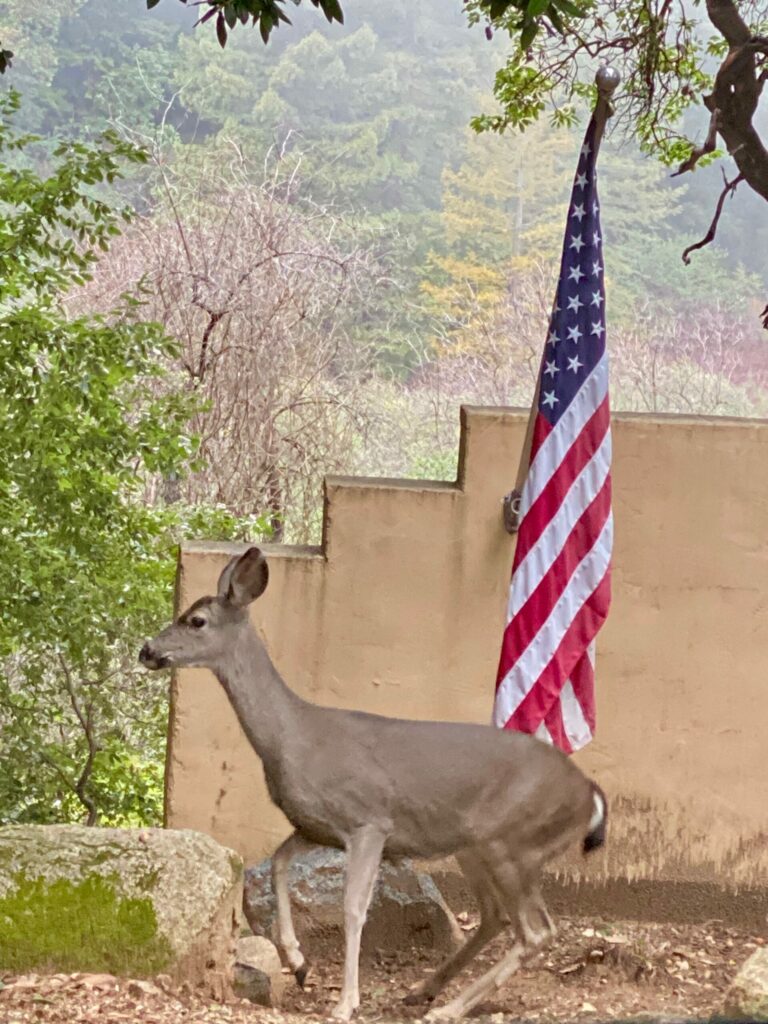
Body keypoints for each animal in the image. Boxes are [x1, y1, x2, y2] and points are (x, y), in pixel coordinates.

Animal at [138, 548, 606, 1019]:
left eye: (196, 620)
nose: (147, 650)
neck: (294, 737)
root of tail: (590, 796)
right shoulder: (316, 825)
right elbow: (278, 864)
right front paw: (299, 963)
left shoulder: (369, 821)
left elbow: (352, 909)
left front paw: (345, 1002)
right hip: (475, 846)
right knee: (496, 916)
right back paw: (424, 990)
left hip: (516, 841)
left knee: (536, 930)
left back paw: (448, 1009)